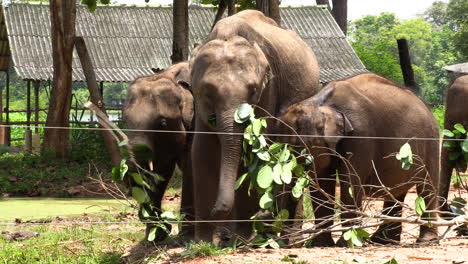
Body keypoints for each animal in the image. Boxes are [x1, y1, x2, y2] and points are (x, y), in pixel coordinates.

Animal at [188, 9, 320, 244]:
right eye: (207, 92)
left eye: (253, 91)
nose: (215, 211)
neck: (228, 34)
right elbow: (202, 151)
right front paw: (202, 242)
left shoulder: (268, 92)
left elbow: (254, 152)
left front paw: (241, 238)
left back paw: (287, 236)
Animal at [276, 73, 440, 246]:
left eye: (299, 148)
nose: (284, 243)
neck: (320, 103)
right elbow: (322, 182)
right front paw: (320, 244)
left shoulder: (361, 134)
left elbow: (350, 181)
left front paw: (346, 243)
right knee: (396, 190)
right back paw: (382, 241)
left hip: (431, 141)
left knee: (426, 187)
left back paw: (425, 242)